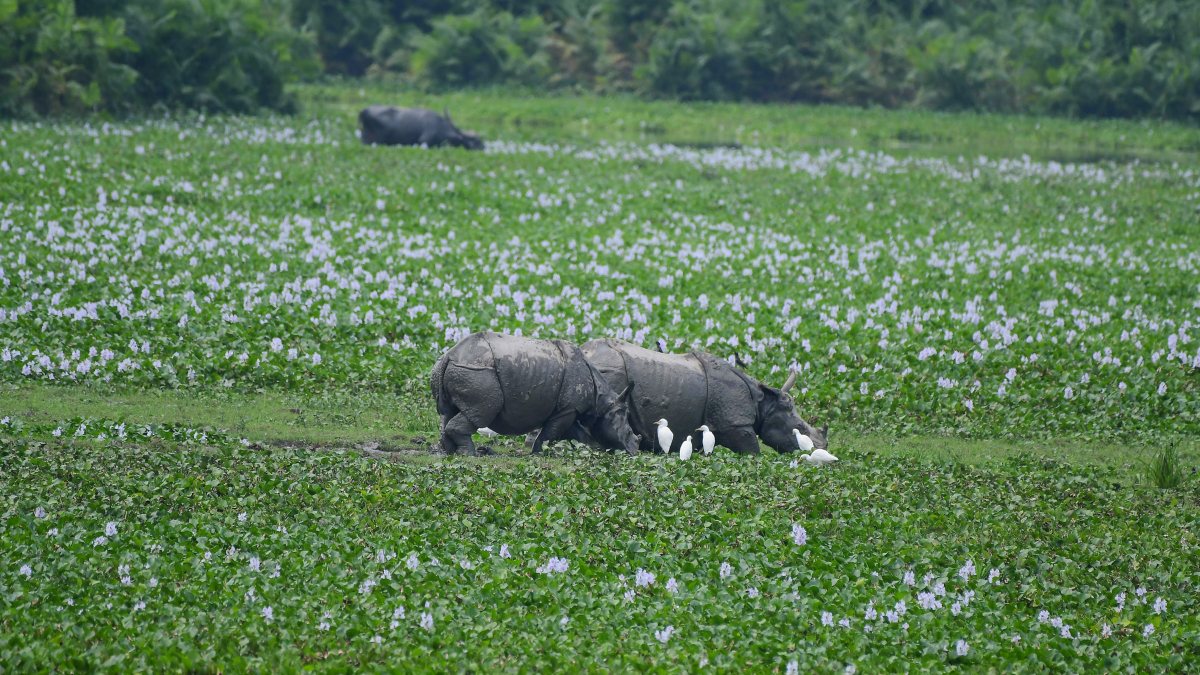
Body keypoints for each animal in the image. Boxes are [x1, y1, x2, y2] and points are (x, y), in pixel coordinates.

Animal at [431, 332, 639, 456]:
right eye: (628, 431)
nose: (635, 449)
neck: (603, 402)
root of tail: (449, 355)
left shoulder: (568, 409)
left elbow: (575, 433)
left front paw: (591, 448)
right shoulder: (568, 409)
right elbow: (550, 433)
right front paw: (538, 453)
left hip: (456, 370)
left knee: (447, 412)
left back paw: (449, 452)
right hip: (478, 372)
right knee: (481, 411)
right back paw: (470, 454)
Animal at [581, 339, 827, 455]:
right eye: (800, 428)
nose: (821, 449)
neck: (763, 402)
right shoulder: (736, 424)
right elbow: (752, 452)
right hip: (611, 372)